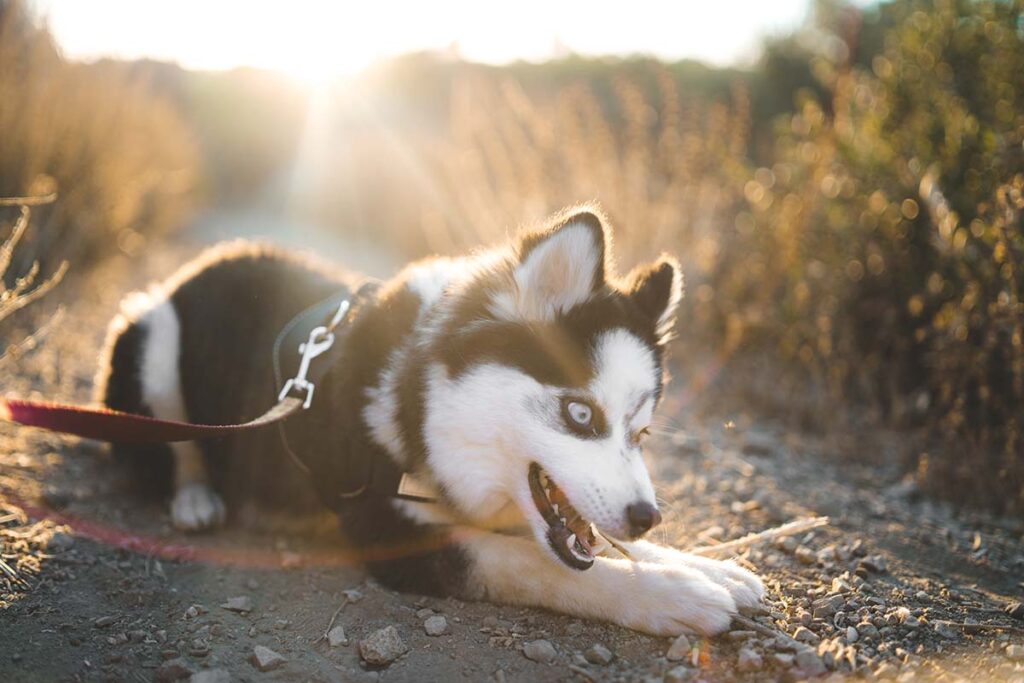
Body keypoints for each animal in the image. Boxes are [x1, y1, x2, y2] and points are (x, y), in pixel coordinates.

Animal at [96, 208, 765, 634]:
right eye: (580, 412)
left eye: (641, 432)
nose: (648, 517)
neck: (422, 397)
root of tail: (206, 261)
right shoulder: (383, 524)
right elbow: (534, 563)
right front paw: (672, 594)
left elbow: (588, 545)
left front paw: (708, 568)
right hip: (151, 334)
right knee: (178, 444)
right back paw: (196, 497)